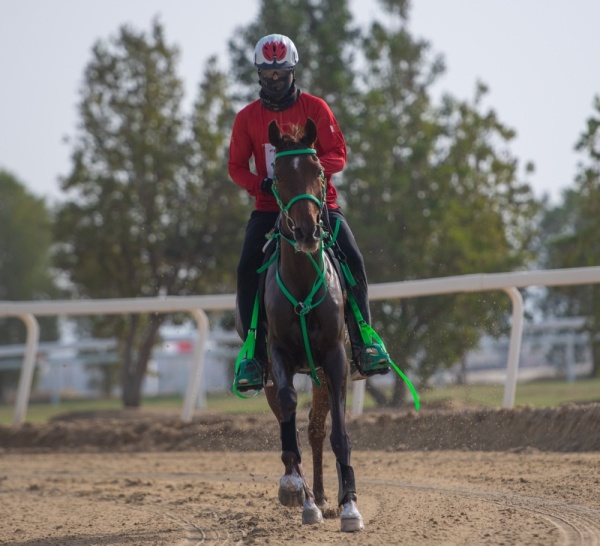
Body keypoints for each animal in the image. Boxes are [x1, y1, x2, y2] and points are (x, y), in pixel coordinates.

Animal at [260, 117, 364, 528]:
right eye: (277, 175)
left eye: (318, 169)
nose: (306, 231)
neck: (303, 283)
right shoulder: (277, 355)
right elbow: (288, 405)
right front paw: (295, 489)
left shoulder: (334, 357)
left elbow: (337, 433)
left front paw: (350, 504)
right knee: (287, 415)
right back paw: (306, 494)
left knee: (318, 428)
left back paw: (321, 495)